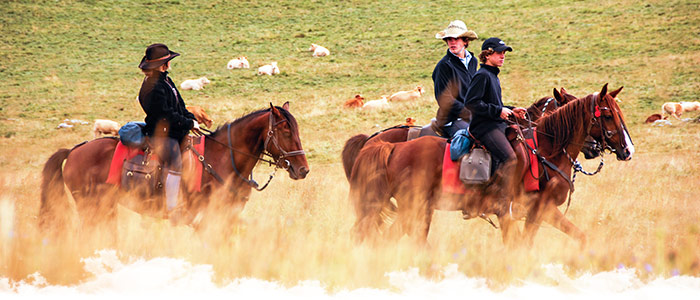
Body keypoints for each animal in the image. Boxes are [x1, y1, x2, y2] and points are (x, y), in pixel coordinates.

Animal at [40, 102, 308, 240]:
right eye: (285, 131)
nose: (303, 169)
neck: (222, 158)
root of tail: (74, 150)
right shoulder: (208, 218)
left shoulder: (228, 217)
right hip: (90, 207)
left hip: (106, 208)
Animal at [350, 84, 636, 248]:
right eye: (607, 115)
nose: (627, 150)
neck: (544, 150)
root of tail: (387, 146)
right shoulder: (532, 210)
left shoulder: (541, 211)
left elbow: (578, 236)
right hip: (413, 207)